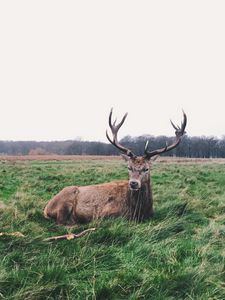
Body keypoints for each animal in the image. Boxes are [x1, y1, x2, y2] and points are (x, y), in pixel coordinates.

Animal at [43, 109, 186, 225]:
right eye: (128, 167)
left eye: (146, 168)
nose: (133, 183)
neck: (139, 211)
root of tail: (46, 208)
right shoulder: (105, 213)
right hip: (65, 202)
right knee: (61, 222)